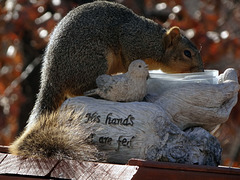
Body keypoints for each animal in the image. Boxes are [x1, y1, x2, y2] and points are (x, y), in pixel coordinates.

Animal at [10, 1, 203, 159]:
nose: (201, 70)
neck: (156, 44)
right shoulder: (133, 42)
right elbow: (131, 60)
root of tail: (51, 76)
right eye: (187, 53)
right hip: (93, 61)